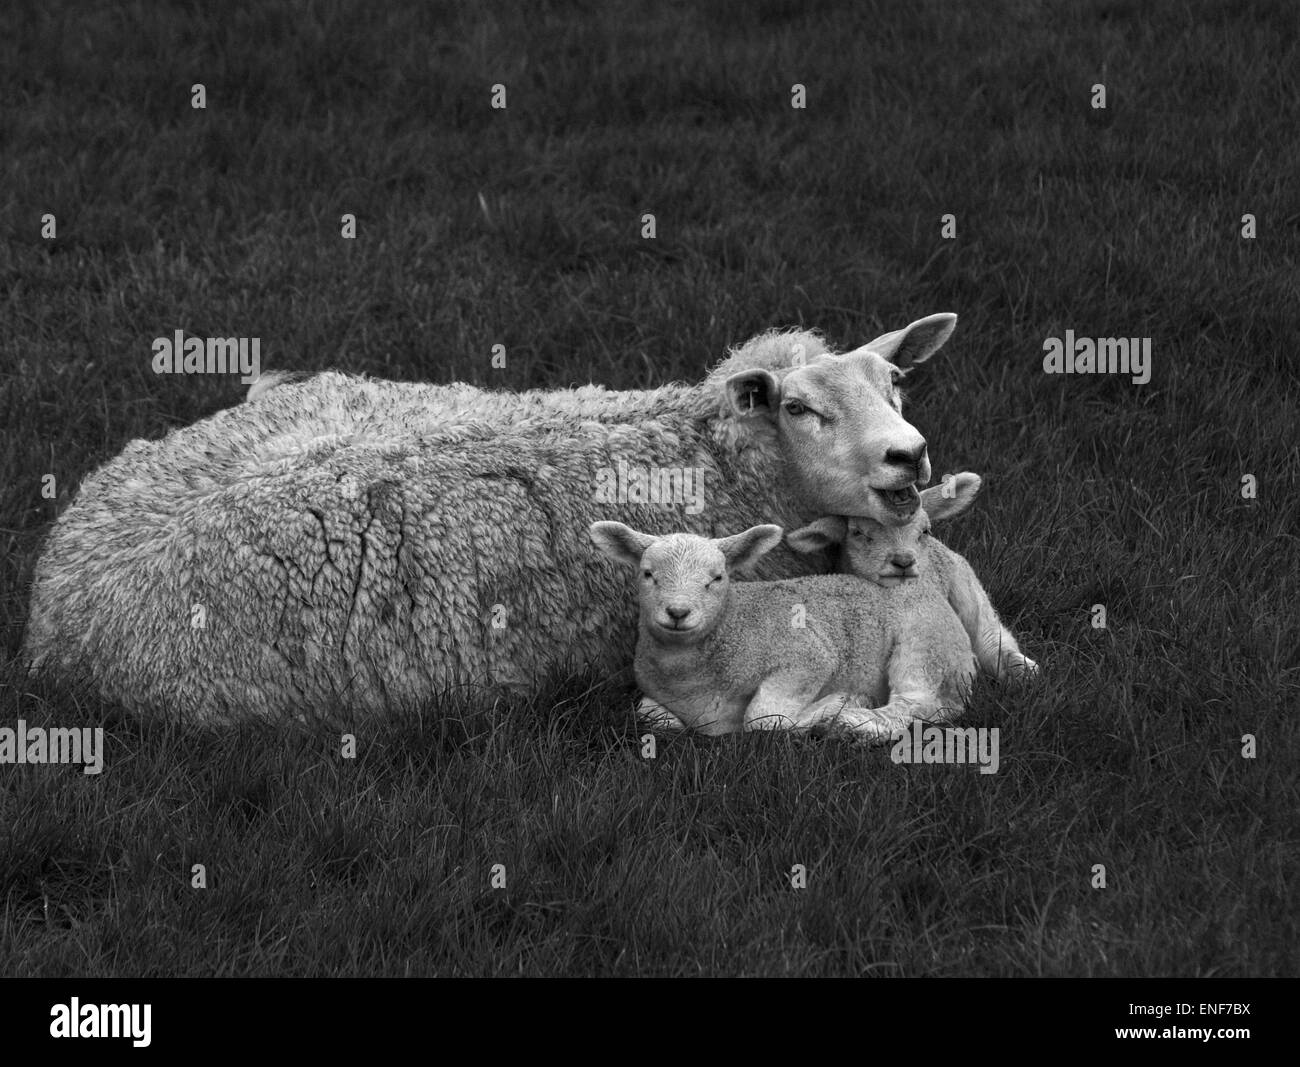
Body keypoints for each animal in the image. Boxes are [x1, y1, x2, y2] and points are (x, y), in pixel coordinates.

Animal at [589, 507, 983, 742]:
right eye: (647, 574)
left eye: (717, 578)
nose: (677, 612)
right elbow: (649, 715)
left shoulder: (806, 657)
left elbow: (763, 719)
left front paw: (836, 704)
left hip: (924, 644)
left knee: (914, 702)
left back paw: (856, 723)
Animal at [785, 473, 1038, 682]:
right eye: (858, 533)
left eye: (925, 530)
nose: (904, 561)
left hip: (969, 591)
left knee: (990, 637)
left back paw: (1020, 668)